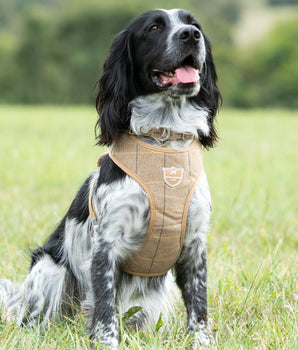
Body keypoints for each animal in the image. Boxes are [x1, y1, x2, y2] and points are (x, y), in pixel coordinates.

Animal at [0, 8, 220, 350]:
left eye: (193, 25)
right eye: (154, 28)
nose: (190, 36)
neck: (164, 143)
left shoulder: (195, 244)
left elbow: (199, 306)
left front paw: (202, 342)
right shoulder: (106, 245)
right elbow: (104, 311)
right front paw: (105, 341)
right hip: (50, 270)